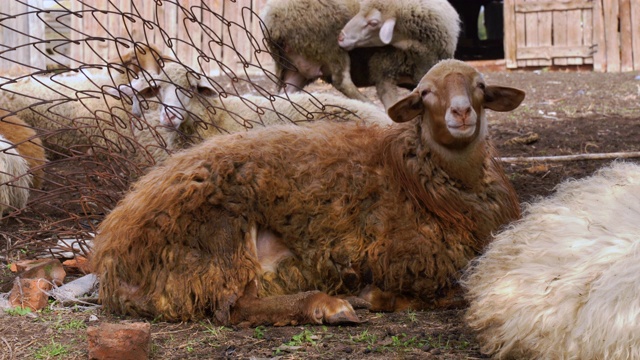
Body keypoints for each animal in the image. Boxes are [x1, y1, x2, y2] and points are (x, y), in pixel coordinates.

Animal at [90, 59, 524, 324]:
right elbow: (457, 292)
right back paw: (326, 305)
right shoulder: (408, 258)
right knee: (232, 306)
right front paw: (377, 296)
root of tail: (110, 254)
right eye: (425, 94)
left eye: (480, 86)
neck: (418, 175)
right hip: (218, 233)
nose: (461, 113)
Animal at [260, 0, 460, 108]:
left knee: (285, 93)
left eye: (373, 23)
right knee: (342, 81)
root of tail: (270, 17)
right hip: (327, 47)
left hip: (295, 66)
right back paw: (368, 105)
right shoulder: (383, 70)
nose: (341, 37)